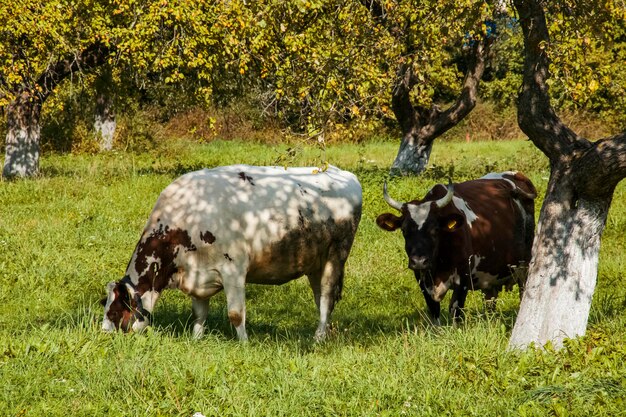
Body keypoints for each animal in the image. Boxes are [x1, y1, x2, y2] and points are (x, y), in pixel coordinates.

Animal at [102, 164, 360, 340]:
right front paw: (196, 339)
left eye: (115, 312)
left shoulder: (233, 269)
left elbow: (236, 313)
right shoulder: (197, 273)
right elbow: (198, 313)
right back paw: (322, 333)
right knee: (321, 299)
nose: (104, 336)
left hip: (336, 256)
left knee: (327, 297)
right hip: (314, 262)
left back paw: (318, 339)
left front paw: (244, 343)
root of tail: (345, 174)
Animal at [372, 171, 532, 324]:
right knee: (490, 302)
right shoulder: (421, 280)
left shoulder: (463, 279)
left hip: (525, 267)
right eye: (404, 230)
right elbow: (434, 312)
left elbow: (455, 311)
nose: (419, 261)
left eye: (435, 229)